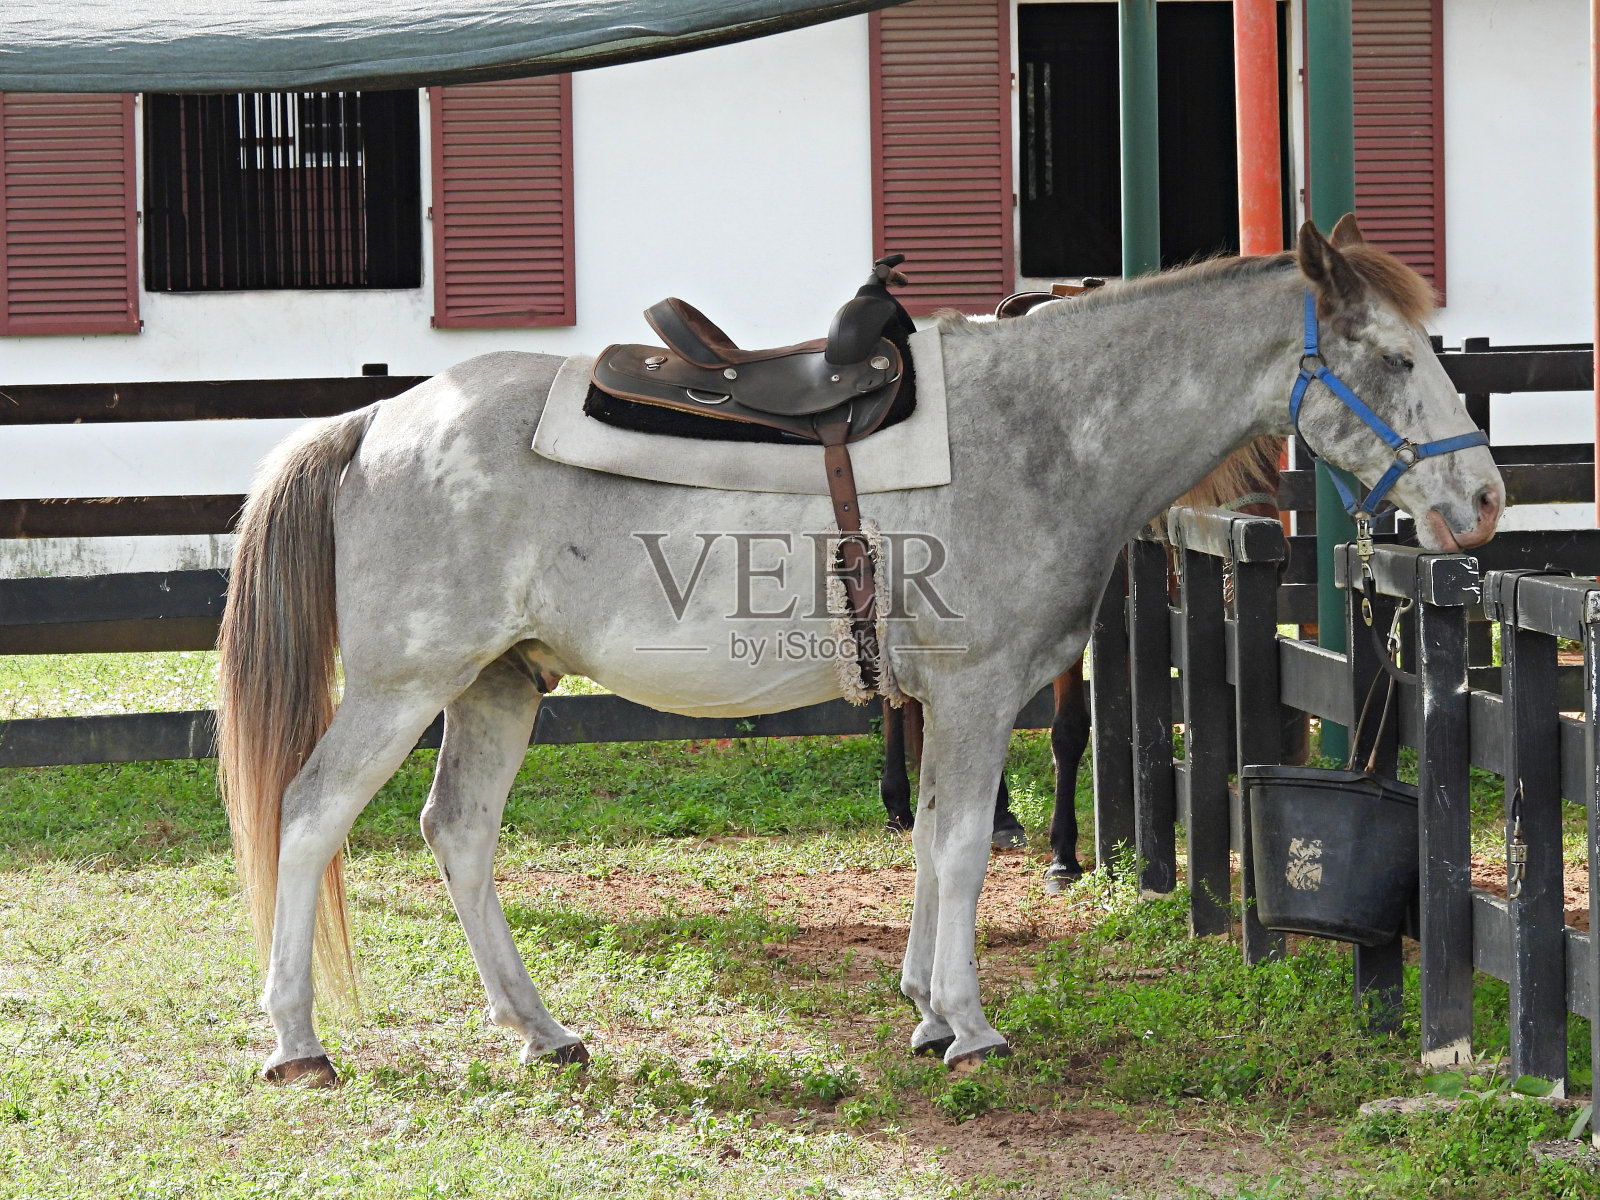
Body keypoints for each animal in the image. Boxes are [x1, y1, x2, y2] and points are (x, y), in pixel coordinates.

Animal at [217, 217, 1502, 1084]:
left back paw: (540, 1030)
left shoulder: (948, 700)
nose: (1484, 500)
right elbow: (962, 850)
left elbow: (933, 840)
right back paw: (296, 1043)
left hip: (498, 686)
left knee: (459, 834)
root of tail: (379, 420)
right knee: (312, 813)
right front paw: (969, 1027)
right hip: (403, 687)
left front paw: (928, 1007)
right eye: (1394, 358)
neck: (1041, 430)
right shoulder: (978, 695)